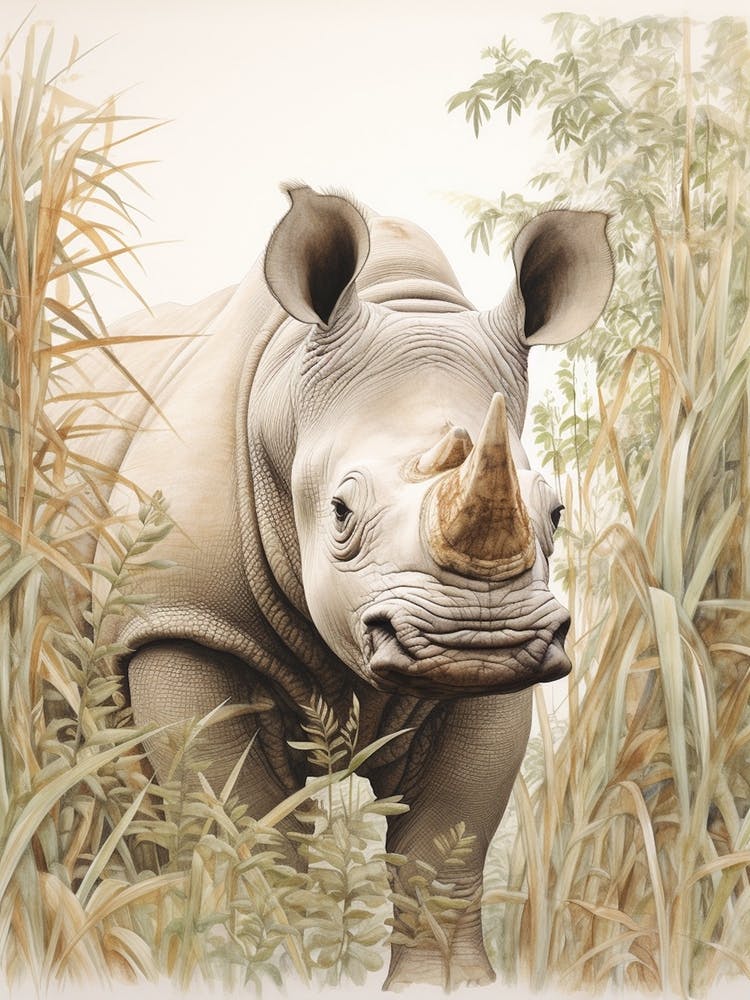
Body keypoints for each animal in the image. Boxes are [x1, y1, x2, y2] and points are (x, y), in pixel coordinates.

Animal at [76, 185, 613, 989]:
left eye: (554, 512)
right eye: (340, 512)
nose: (477, 641)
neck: (283, 402)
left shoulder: (517, 662)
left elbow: (447, 840)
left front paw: (446, 986)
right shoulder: (178, 620)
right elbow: (241, 825)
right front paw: (260, 967)